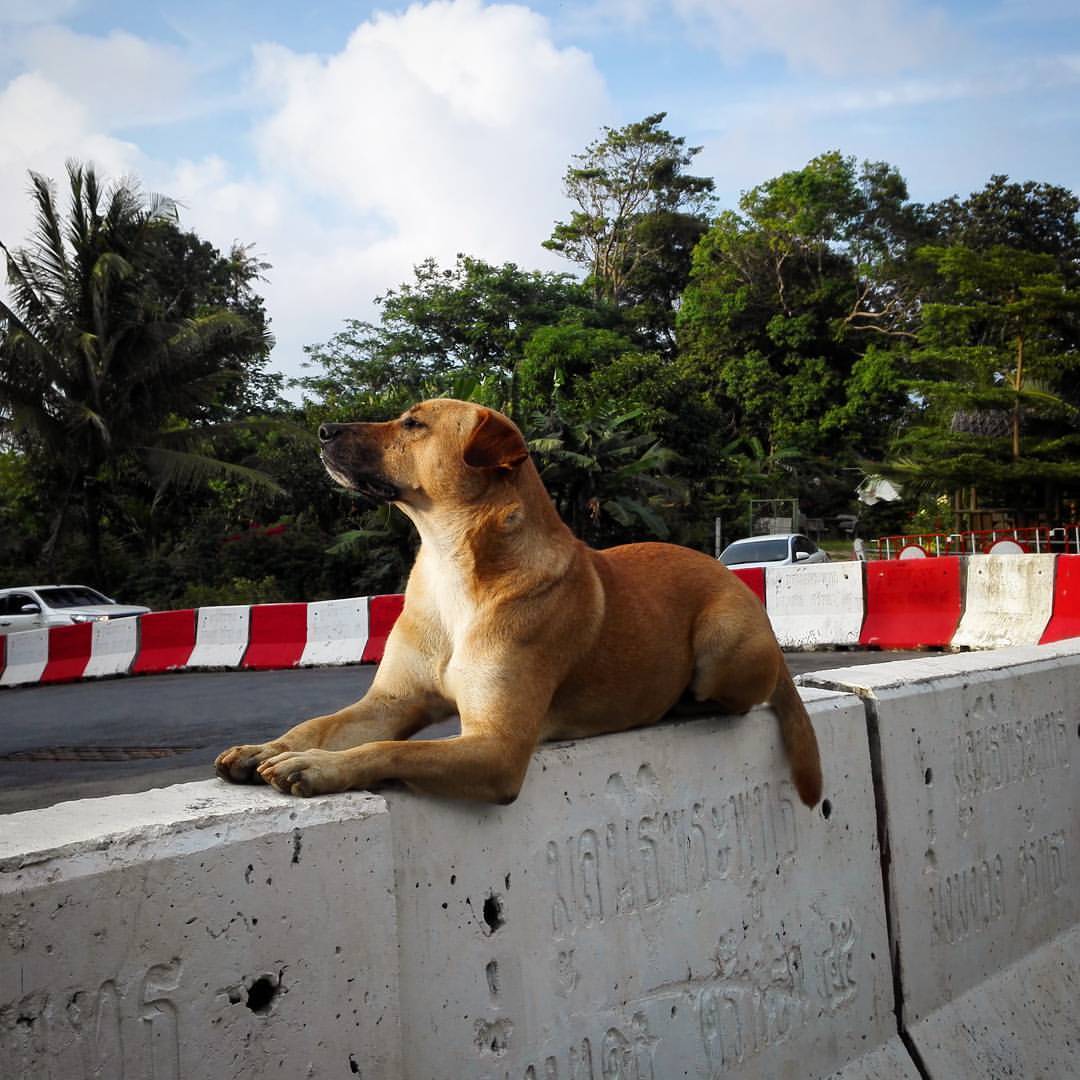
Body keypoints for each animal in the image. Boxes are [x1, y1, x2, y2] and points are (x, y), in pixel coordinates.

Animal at [214, 401, 820, 807]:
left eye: (413, 424)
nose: (322, 430)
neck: (453, 563)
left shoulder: (495, 749)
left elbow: (392, 750)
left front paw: (319, 767)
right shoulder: (391, 703)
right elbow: (322, 723)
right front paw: (266, 747)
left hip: (723, 644)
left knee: (731, 699)